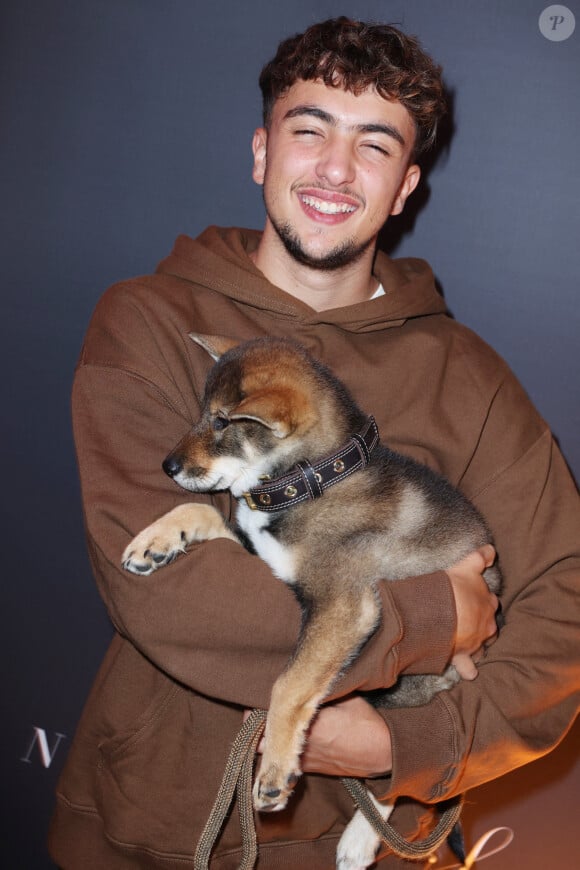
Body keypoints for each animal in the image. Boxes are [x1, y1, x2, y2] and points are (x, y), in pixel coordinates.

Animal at [121, 336, 498, 870]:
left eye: (221, 422)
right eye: (203, 414)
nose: (167, 466)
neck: (308, 480)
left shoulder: (342, 605)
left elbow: (289, 684)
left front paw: (276, 769)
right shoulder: (266, 559)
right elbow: (199, 510)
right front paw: (155, 541)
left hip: (408, 687)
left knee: (402, 767)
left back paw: (361, 836)